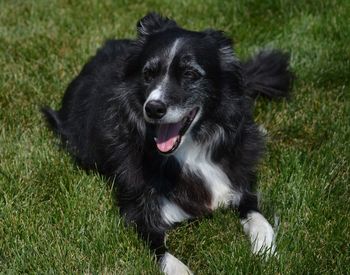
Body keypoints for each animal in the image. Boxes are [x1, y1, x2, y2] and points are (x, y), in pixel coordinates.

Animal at [41, 12, 292, 275]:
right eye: (148, 74)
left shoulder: (240, 183)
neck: (190, 150)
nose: (153, 108)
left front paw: (266, 252)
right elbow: (163, 254)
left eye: (190, 74)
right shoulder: (137, 212)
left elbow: (260, 219)